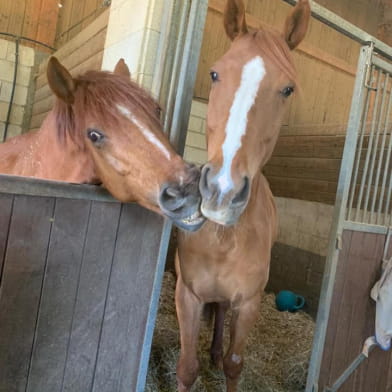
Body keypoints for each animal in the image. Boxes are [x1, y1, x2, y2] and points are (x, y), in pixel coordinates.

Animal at [176, 0, 310, 388]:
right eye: (214, 74)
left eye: (288, 89)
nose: (223, 190)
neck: (223, 237)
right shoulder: (187, 295)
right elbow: (186, 368)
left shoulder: (249, 303)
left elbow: (234, 365)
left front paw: (221, 358)